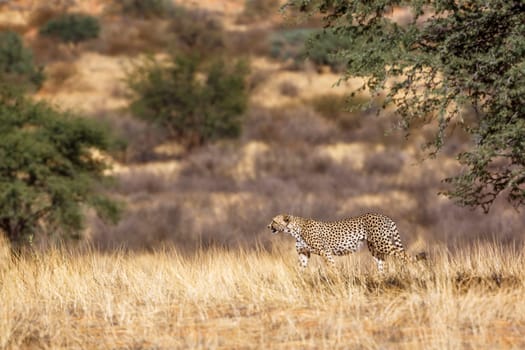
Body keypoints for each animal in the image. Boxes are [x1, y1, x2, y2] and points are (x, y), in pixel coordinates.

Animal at [266, 213, 418, 270]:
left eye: (274, 221)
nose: (268, 226)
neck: (294, 229)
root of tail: (384, 215)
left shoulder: (325, 251)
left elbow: (332, 267)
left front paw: (336, 279)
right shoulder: (304, 253)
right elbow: (301, 268)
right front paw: (299, 281)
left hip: (382, 243)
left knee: (406, 256)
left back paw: (416, 270)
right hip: (374, 248)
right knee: (382, 264)